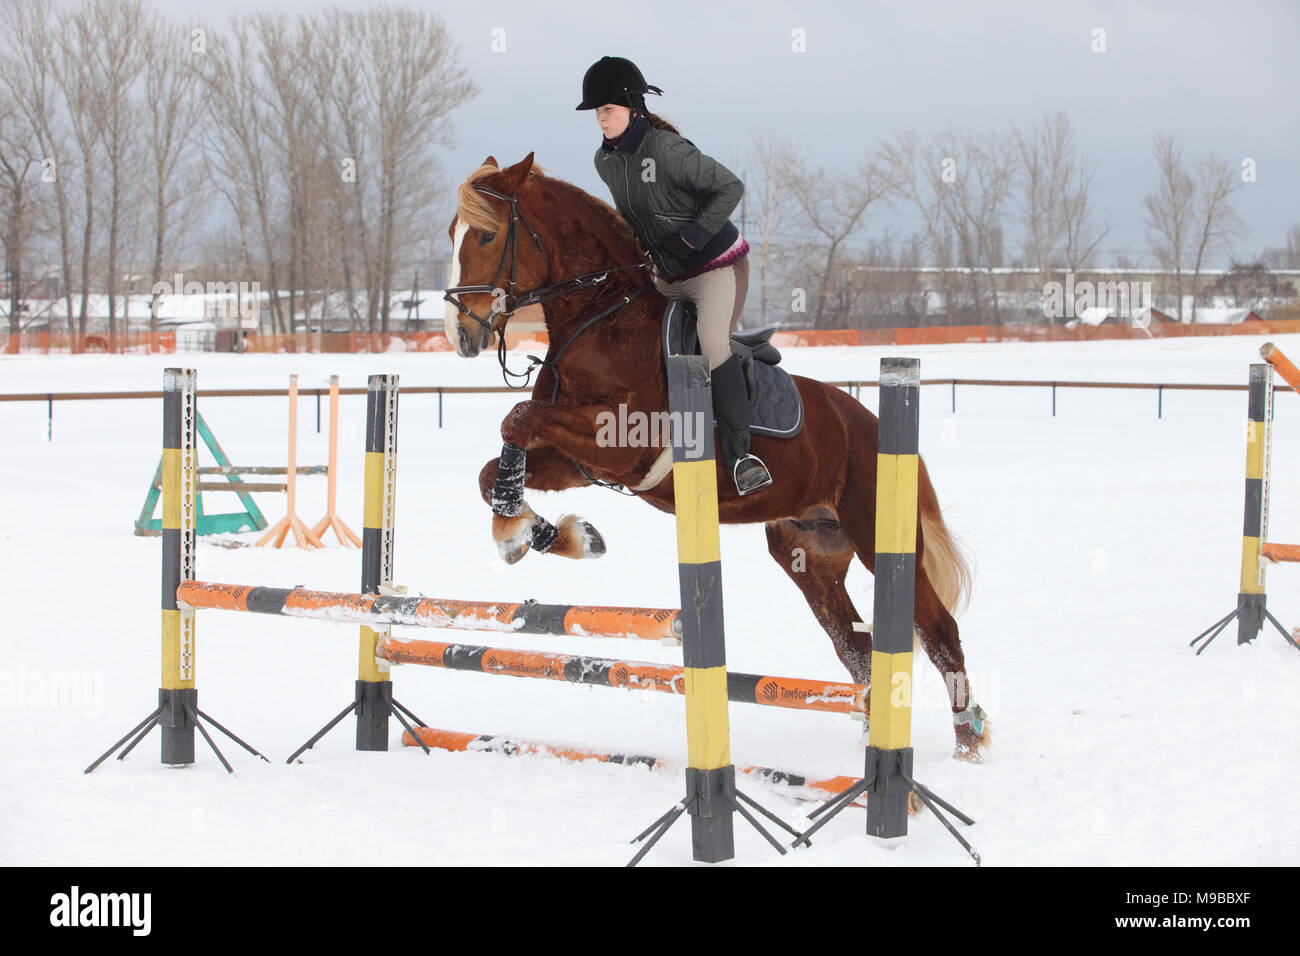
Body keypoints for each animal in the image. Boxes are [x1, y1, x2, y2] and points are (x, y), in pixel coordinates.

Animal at [441, 151, 987, 764]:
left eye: (487, 234)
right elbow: (496, 462)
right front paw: (548, 535)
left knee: (939, 632)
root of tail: (870, 424)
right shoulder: (577, 463)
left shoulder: (623, 445)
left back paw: (968, 745)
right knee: (855, 645)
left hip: (879, 538)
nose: (460, 334)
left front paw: (529, 533)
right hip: (811, 556)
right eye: (452, 233)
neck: (599, 319)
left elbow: (516, 417)